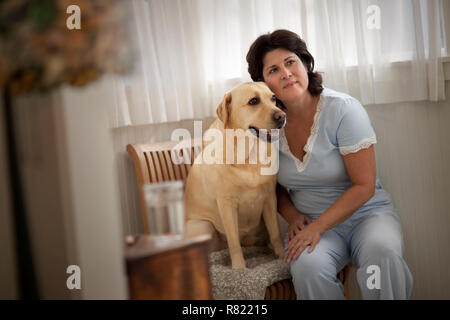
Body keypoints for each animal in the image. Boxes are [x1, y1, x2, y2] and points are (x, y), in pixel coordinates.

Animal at [185, 81, 286, 268]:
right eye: (253, 101)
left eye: (273, 98)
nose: (282, 116)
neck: (249, 155)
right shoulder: (227, 204)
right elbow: (234, 243)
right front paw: (239, 268)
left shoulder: (270, 197)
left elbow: (275, 233)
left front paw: (282, 257)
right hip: (203, 226)